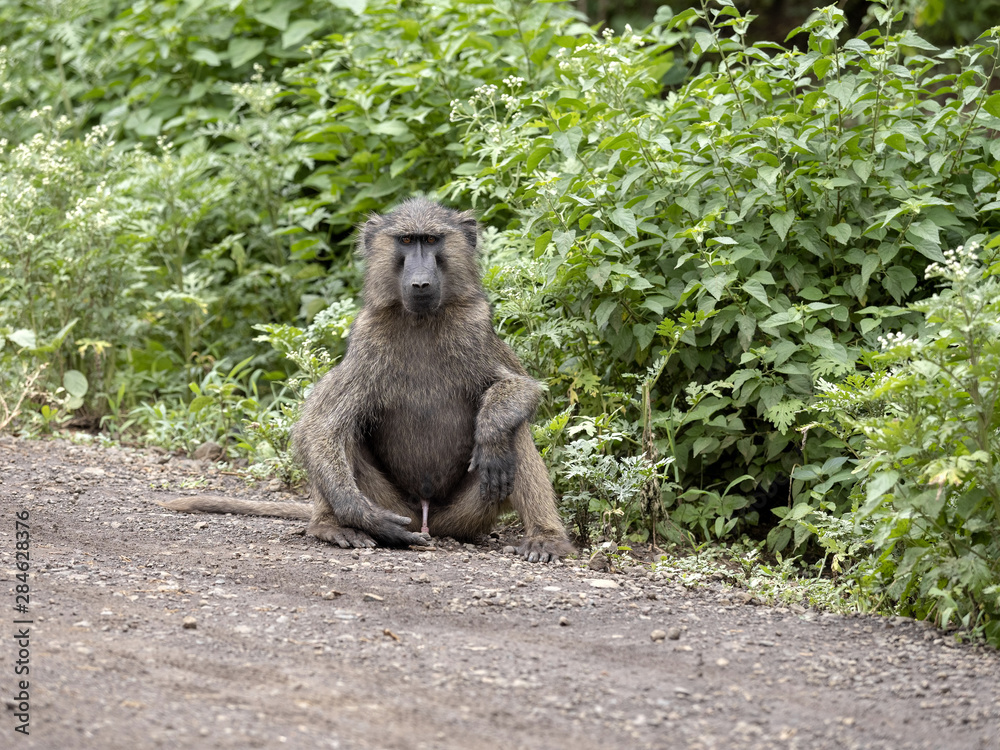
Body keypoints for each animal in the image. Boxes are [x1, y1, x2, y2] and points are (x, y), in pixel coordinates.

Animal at [160, 198, 575, 563]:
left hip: (468, 516)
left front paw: (489, 433)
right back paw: (332, 526)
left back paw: (545, 537)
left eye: (431, 240)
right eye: (406, 241)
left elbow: (521, 388)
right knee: (337, 433)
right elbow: (319, 427)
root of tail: (428, 522)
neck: (420, 320)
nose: (420, 284)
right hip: (398, 506)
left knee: (513, 434)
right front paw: (363, 517)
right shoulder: (366, 342)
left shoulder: (475, 330)